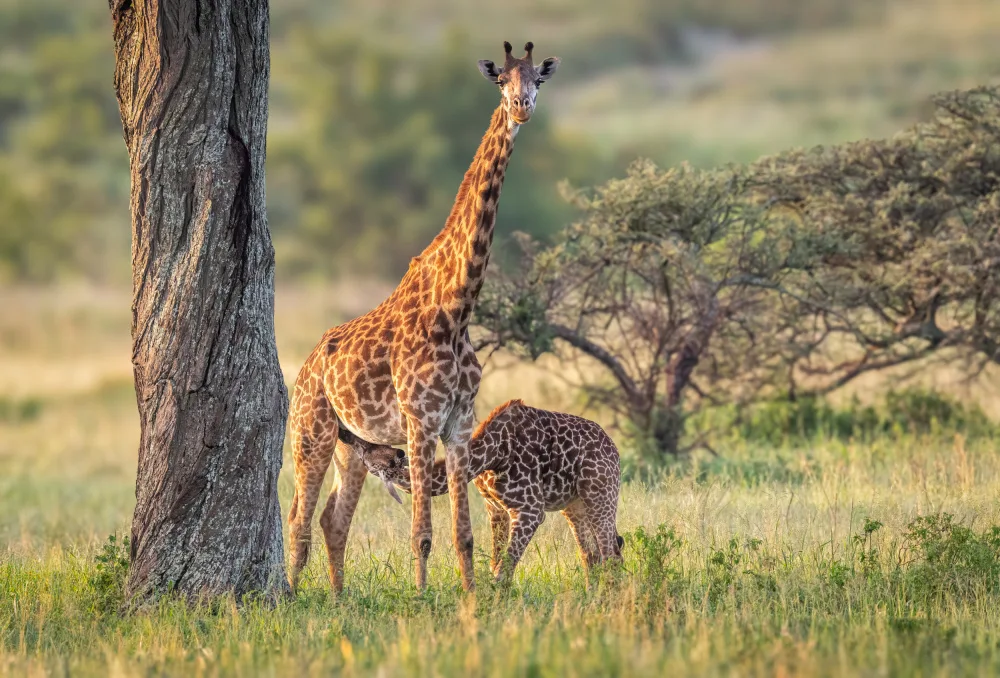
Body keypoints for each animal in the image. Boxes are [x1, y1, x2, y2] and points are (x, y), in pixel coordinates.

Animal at [286, 42, 560, 596]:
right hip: (312, 431)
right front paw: (419, 597)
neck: (454, 308)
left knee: (331, 519)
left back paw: (340, 599)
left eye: (538, 80)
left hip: (353, 444)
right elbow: (422, 533)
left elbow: (462, 532)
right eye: (501, 81)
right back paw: (288, 595)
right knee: (297, 518)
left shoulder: (458, 422)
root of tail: (304, 370)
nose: (521, 108)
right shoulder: (419, 421)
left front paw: (472, 597)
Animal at [364, 402, 620, 580]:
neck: (492, 454)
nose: (357, 441)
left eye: (374, 449)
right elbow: (494, 565)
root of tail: (614, 450)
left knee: (611, 554)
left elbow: (503, 570)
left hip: (600, 496)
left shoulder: (530, 510)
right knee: (593, 555)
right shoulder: (495, 508)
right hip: (574, 506)